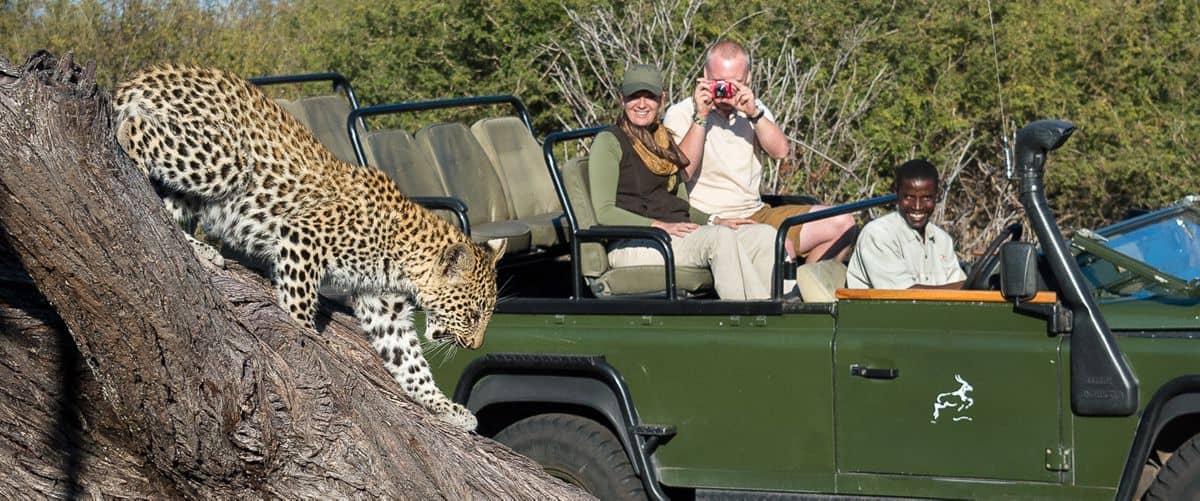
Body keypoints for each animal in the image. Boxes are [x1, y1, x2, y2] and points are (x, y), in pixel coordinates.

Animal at [112, 65, 506, 431]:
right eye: (473, 314)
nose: (475, 346)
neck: (405, 256)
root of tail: (155, 71)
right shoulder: (303, 236)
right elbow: (299, 300)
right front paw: (307, 336)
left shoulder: (383, 306)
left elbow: (410, 362)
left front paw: (445, 407)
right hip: (224, 160)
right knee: (135, 130)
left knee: (168, 209)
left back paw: (198, 248)